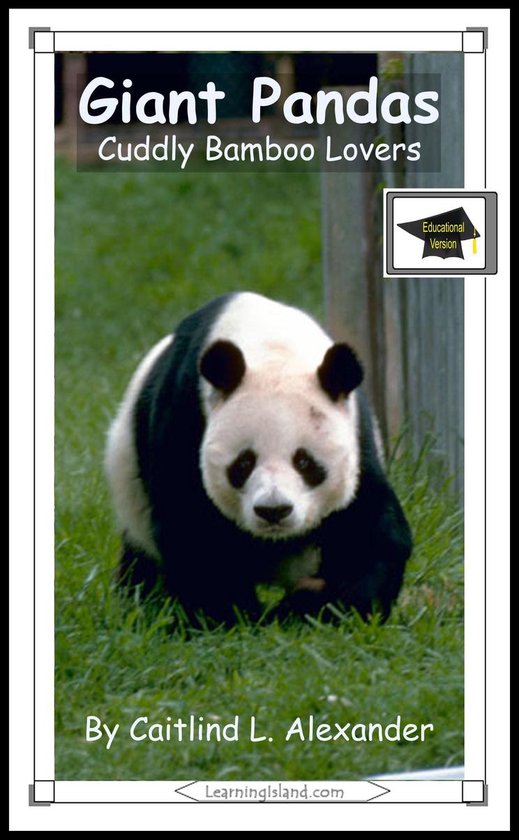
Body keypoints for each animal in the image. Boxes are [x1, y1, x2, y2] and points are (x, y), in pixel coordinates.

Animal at [105, 292, 412, 624]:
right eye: (243, 463)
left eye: (305, 462)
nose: (273, 510)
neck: (273, 351)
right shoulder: (183, 416)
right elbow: (192, 531)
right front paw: (232, 616)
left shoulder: (358, 441)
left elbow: (371, 534)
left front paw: (313, 606)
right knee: (141, 558)